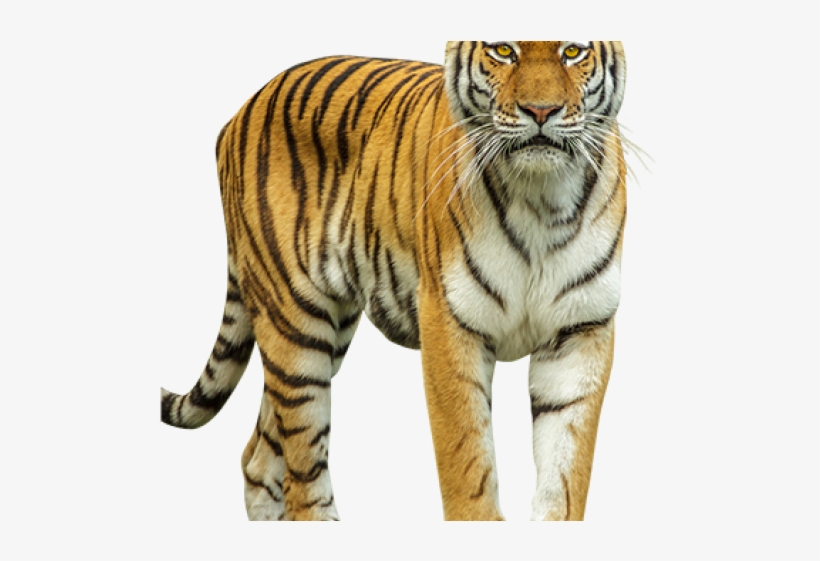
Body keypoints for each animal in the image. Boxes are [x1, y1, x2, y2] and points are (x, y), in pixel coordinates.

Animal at [161, 41, 627, 521]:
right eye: (503, 50)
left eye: (572, 51)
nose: (541, 110)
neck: (542, 199)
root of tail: (243, 108)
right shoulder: (449, 323)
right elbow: (468, 467)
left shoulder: (580, 331)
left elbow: (565, 473)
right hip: (294, 325)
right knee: (303, 472)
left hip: (327, 331)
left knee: (259, 458)